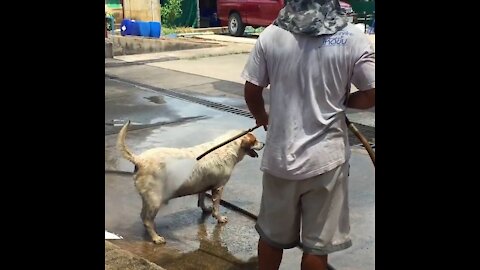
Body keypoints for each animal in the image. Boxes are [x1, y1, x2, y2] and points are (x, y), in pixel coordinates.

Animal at [117, 121, 266, 244]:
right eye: (255, 140)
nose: (264, 144)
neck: (228, 148)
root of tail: (139, 160)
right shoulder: (219, 187)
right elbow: (216, 206)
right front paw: (219, 218)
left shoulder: (204, 183)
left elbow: (202, 198)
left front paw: (205, 208)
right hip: (155, 199)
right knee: (148, 220)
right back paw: (156, 238)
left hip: (148, 198)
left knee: (143, 217)